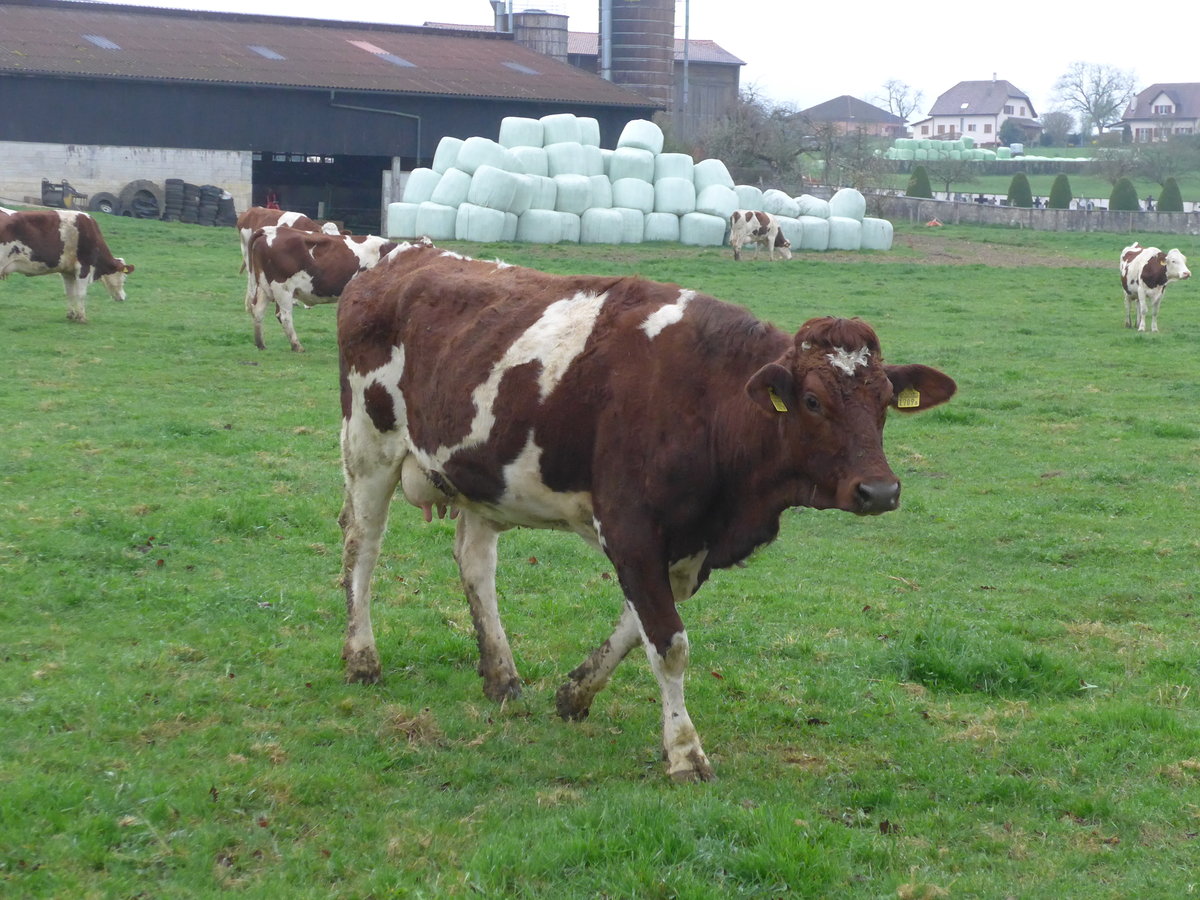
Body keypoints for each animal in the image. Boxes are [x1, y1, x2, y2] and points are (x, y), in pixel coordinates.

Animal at [0, 209, 134, 322]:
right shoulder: (83, 268)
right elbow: (81, 294)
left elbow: (70, 293)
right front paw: (82, 318)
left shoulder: (67, 271)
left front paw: (71, 315)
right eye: (125, 278)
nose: (123, 297)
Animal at [246, 225, 397, 351]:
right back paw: (297, 346)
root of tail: (270, 230)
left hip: (264, 287)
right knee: (284, 316)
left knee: (258, 311)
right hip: (282, 287)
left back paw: (260, 344)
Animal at [335, 241, 956, 781]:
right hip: (368, 447)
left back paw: (502, 675)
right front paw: (684, 752)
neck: (712, 402)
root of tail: (397, 254)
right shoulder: (630, 527)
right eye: (812, 401)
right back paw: (362, 659)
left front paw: (576, 692)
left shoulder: (686, 545)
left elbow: (638, 627)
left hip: (481, 476)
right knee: (362, 547)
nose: (880, 490)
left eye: (884, 402)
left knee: (475, 564)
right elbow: (670, 645)